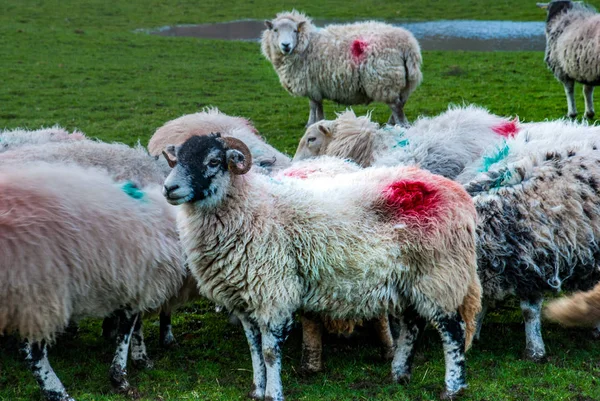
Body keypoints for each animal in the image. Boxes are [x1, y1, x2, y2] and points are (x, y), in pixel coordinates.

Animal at [0, 162, 185, 400]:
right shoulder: (138, 280)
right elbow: (127, 331)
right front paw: (120, 376)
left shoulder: (134, 283)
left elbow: (135, 327)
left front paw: (140, 359)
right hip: (39, 288)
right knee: (33, 352)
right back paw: (58, 392)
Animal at [162, 134, 480, 400]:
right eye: (177, 160)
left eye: (213, 161)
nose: (169, 188)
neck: (252, 208)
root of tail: (457, 194)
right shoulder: (243, 297)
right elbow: (253, 349)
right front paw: (256, 390)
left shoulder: (273, 292)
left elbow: (269, 352)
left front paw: (273, 394)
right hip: (410, 279)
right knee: (413, 324)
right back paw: (400, 375)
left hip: (439, 274)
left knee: (452, 330)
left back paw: (452, 388)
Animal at [262, 10, 422, 126]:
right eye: (275, 30)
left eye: (295, 30)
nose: (286, 45)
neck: (307, 44)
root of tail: (408, 44)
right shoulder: (316, 86)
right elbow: (317, 107)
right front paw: (317, 123)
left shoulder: (311, 85)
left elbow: (314, 106)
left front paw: (311, 124)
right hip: (405, 82)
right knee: (401, 103)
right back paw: (391, 124)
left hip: (385, 80)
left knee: (397, 107)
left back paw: (400, 125)